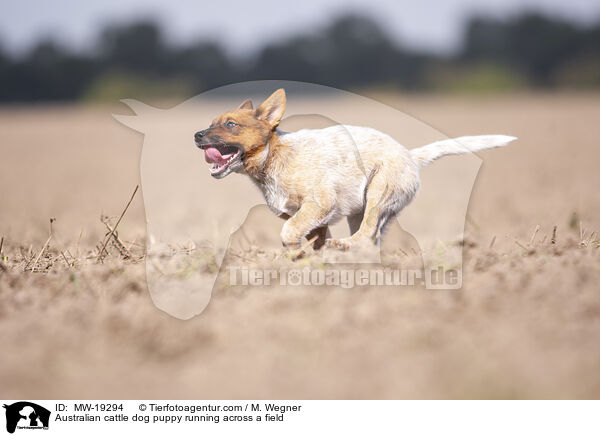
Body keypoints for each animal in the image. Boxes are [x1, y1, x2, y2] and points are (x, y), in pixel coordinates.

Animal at [195, 90, 512, 254]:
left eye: (231, 124)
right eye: (211, 123)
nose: (197, 135)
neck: (273, 158)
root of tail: (410, 157)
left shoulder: (320, 202)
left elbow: (290, 231)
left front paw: (298, 253)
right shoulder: (312, 216)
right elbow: (310, 235)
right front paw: (309, 259)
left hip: (378, 193)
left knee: (367, 233)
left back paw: (343, 246)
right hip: (360, 210)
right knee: (371, 239)